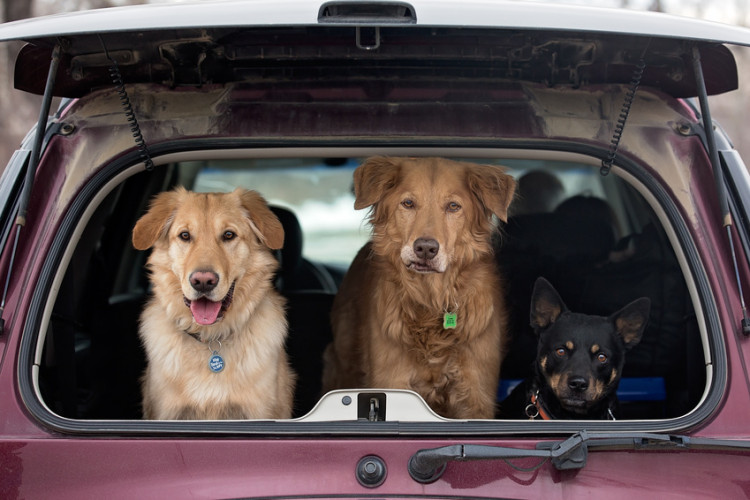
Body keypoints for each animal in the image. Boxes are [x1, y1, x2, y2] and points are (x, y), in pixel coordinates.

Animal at [324, 156, 516, 418]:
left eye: (453, 206)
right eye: (408, 203)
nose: (425, 248)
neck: (430, 301)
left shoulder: (476, 398)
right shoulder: (391, 381)